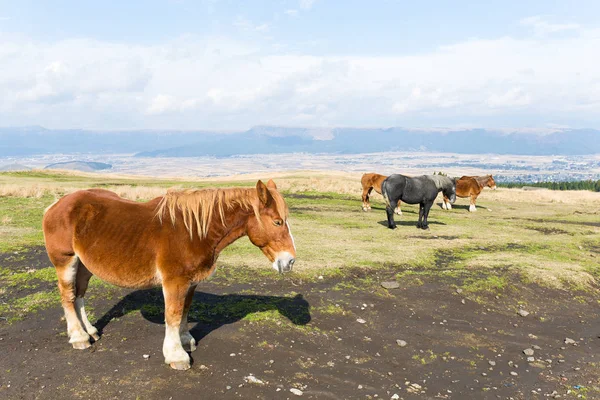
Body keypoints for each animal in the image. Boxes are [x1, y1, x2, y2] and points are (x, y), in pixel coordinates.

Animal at [42, 180, 296, 370]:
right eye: (277, 221)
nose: (289, 261)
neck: (194, 231)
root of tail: (56, 205)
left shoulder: (191, 282)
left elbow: (184, 312)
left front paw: (185, 341)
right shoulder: (175, 281)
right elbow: (173, 316)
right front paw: (176, 355)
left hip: (84, 265)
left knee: (79, 295)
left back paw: (90, 330)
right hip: (65, 261)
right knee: (68, 296)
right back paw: (79, 337)